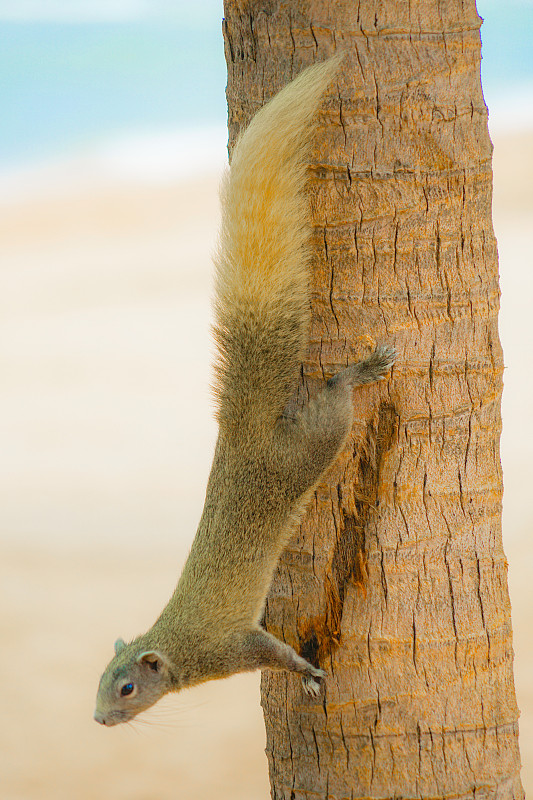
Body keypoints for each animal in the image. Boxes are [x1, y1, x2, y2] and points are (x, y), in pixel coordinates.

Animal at [94, 57, 394, 724]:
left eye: (126, 689)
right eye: (97, 681)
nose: (99, 719)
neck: (177, 645)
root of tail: (241, 426)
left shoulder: (234, 644)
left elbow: (276, 653)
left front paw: (309, 674)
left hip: (313, 441)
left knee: (334, 395)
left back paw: (363, 370)